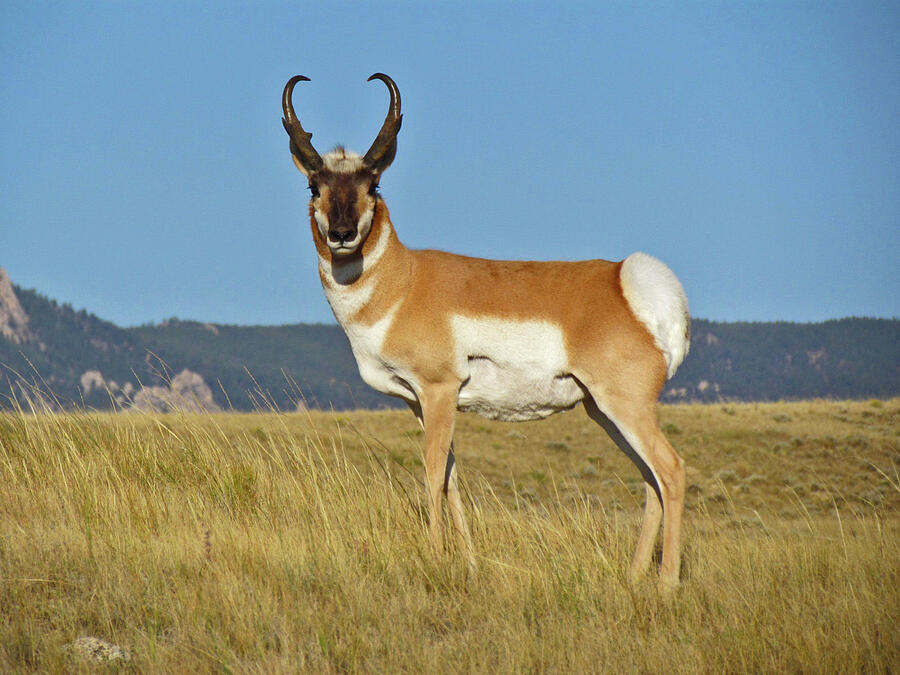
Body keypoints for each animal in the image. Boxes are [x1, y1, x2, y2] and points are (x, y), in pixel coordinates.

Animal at [284, 75, 692, 592]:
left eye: (372, 183)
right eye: (313, 184)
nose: (341, 234)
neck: (404, 281)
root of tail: (624, 281)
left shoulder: (439, 390)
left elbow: (432, 473)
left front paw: (435, 557)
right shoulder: (419, 402)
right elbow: (451, 478)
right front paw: (469, 563)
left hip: (626, 406)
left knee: (671, 471)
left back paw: (666, 585)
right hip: (603, 411)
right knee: (650, 480)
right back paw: (634, 577)